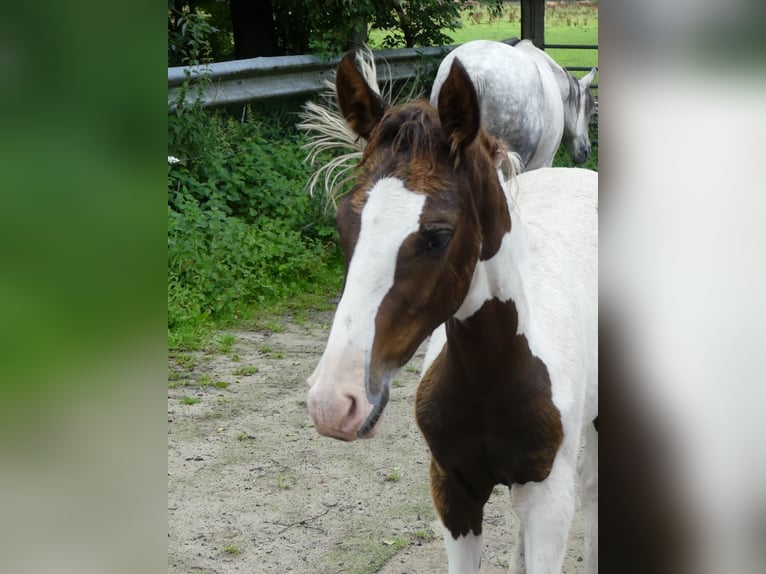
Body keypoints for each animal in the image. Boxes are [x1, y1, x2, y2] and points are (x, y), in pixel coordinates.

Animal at [308, 51, 600, 572]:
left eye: (438, 235)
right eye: (343, 222)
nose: (332, 403)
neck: (492, 375)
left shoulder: (550, 499)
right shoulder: (452, 490)